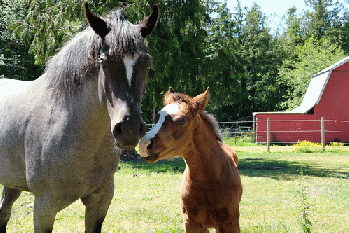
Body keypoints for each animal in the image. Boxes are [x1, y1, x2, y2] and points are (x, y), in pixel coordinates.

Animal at [0, 2, 158, 232]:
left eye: (147, 62)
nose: (128, 129)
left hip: (11, 184)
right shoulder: (44, 206)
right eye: (103, 61)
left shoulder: (100, 202)